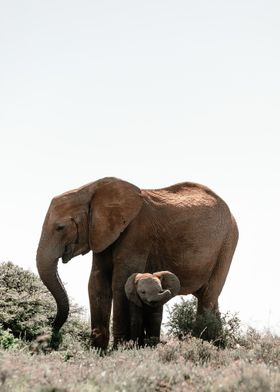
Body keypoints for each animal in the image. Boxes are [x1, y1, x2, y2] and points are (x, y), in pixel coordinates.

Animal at [36, 178, 238, 350]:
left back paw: (202, 345)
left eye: (60, 227)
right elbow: (97, 282)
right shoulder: (102, 234)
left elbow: (119, 281)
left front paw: (119, 349)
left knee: (208, 296)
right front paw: (97, 351)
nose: (51, 326)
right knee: (209, 297)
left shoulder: (138, 231)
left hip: (227, 243)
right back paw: (218, 345)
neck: (91, 190)